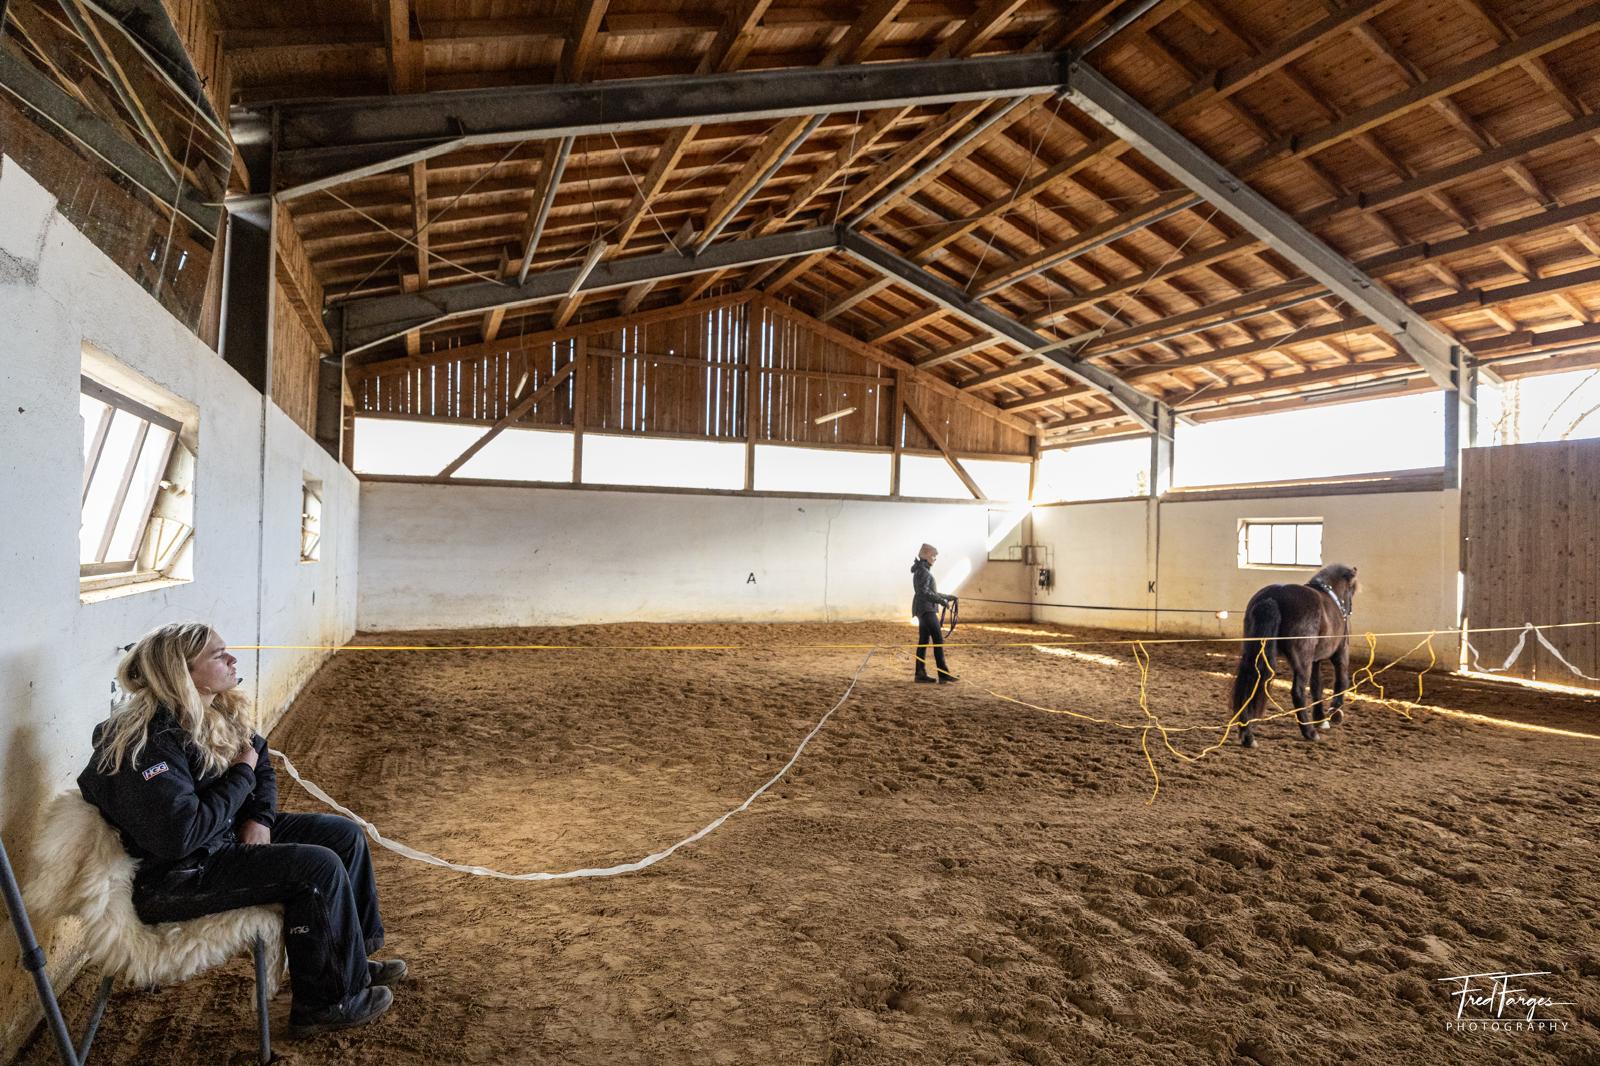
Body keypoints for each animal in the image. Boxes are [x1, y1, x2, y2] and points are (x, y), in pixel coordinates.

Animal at [1228, 560, 1356, 742]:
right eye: (1351, 590)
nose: (1348, 610)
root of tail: (1273, 598)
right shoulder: (1340, 654)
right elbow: (1341, 682)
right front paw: (1335, 715)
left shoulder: (1315, 660)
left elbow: (1317, 686)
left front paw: (1321, 719)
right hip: (1302, 661)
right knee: (1298, 691)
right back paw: (1309, 732)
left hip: (1254, 653)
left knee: (1249, 682)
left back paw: (1248, 735)